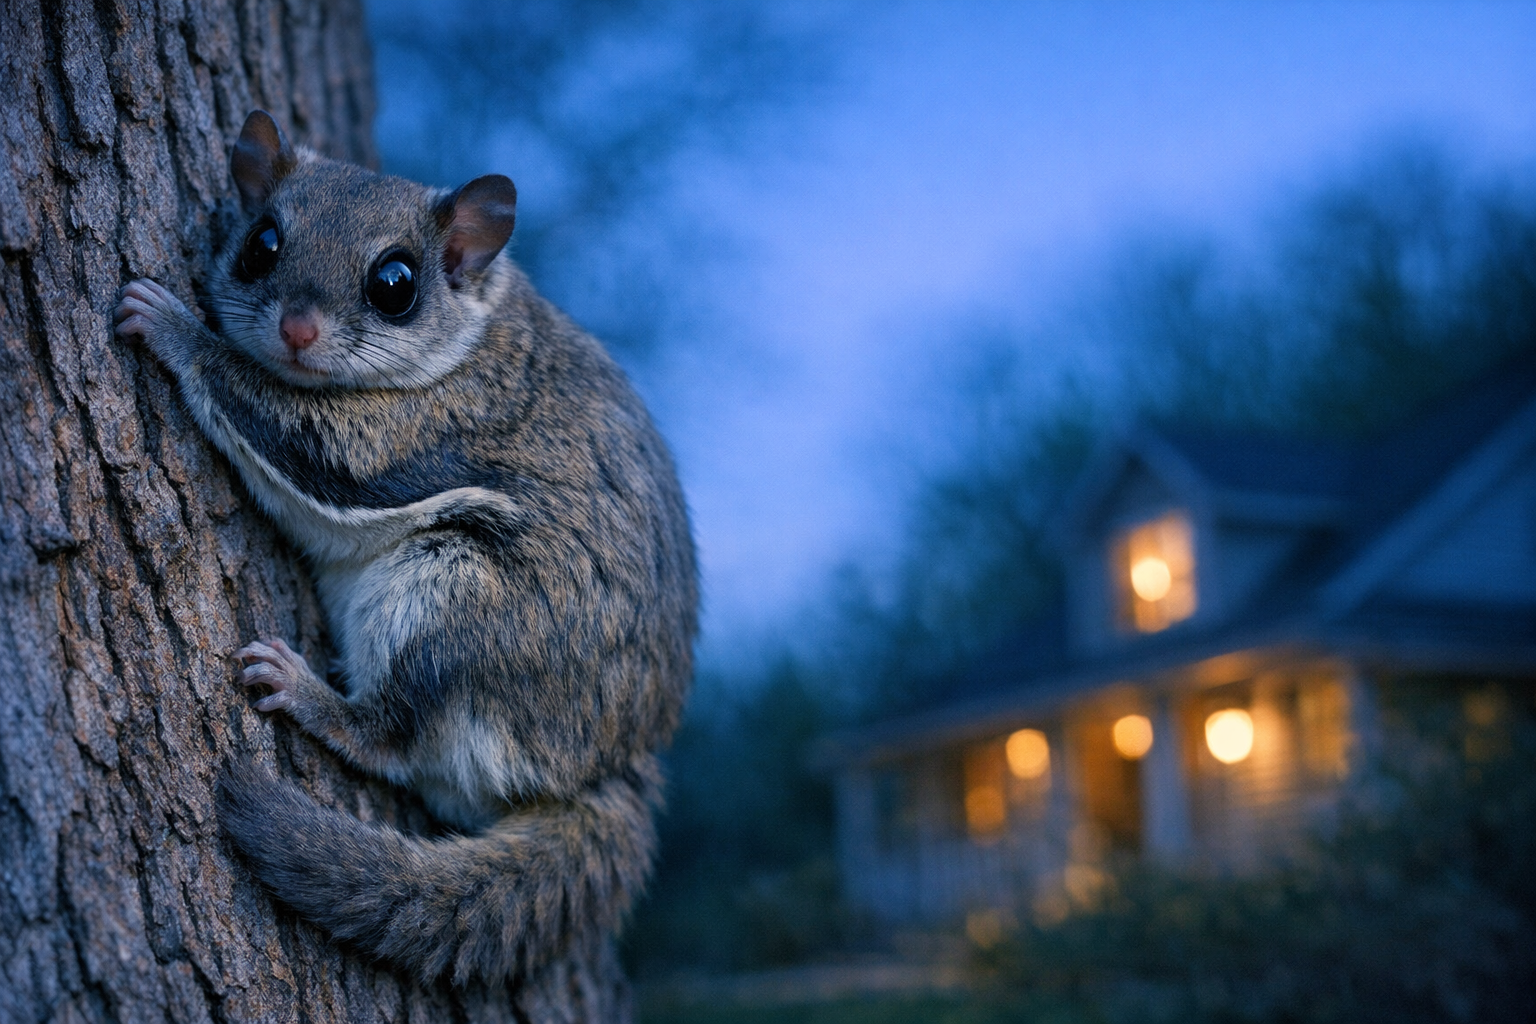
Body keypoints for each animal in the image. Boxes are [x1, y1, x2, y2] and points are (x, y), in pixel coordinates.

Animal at [113, 111, 698, 983]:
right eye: (261, 244)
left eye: (395, 284)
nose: (297, 329)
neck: (473, 333)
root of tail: (604, 769)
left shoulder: (407, 436)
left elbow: (285, 426)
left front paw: (170, 325)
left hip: (454, 604)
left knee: (395, 740)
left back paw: (308, 695)